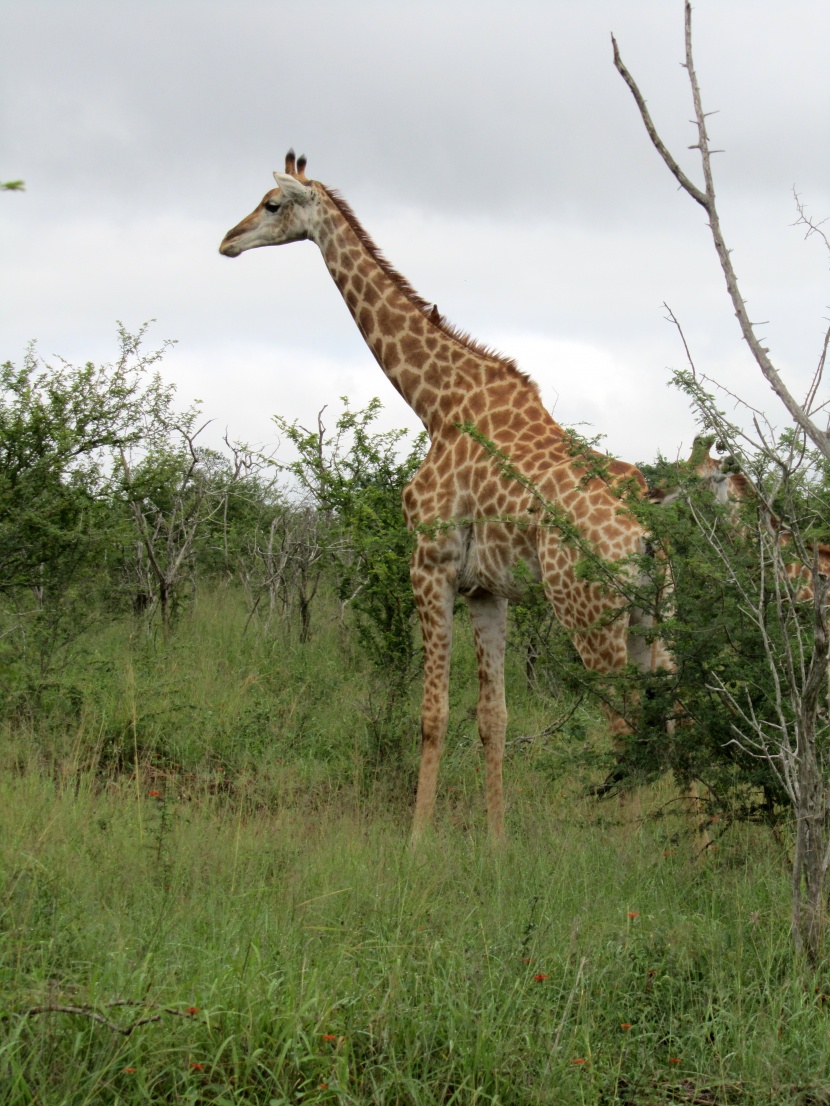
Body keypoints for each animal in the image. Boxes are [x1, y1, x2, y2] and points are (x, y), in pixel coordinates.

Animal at [218, 151, 668, 840]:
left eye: (271, 204)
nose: (228, 241)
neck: (435, 402)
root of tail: (648, 534)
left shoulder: (429, 563)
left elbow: (432, 714)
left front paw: (416, 840)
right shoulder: (487, 588)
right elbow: (493, 718)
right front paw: (497, 842)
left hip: (587, 607)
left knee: (624, 723)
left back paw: (629, 848)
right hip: (651, 614)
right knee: (670, 714)